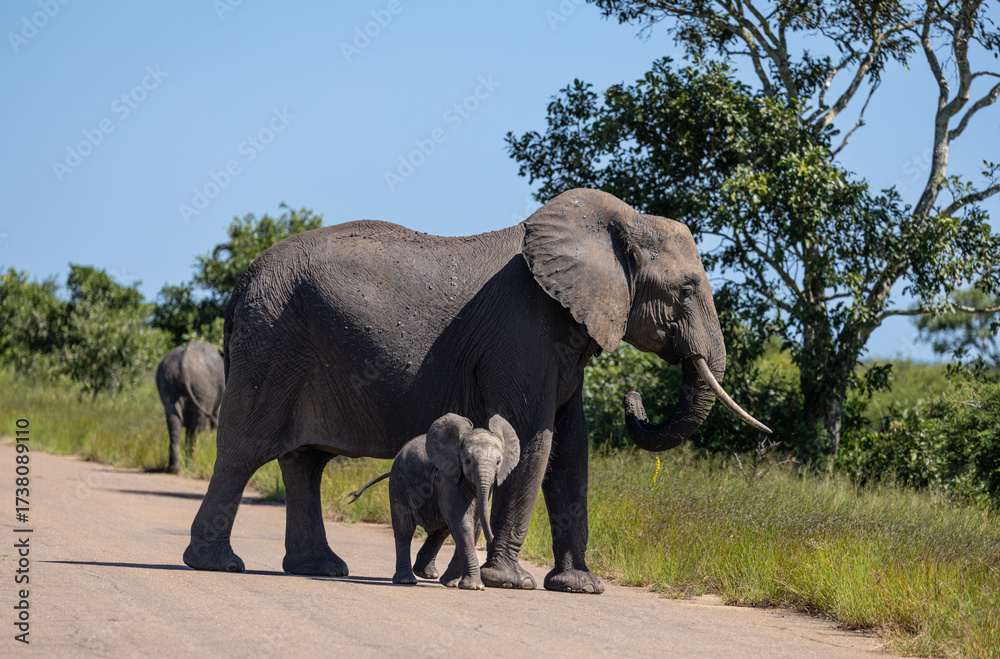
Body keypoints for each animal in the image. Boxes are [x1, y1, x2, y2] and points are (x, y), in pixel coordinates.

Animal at [156, 341, 225, 473]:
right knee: (196, 428)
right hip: (204, 389)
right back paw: (190, 462)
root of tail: (184, 364)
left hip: (169, 383)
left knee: (174, 424)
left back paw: (173, 469)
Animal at [349, 413, 520, 589]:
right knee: (405, 529)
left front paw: (452, 583)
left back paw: (428, 574)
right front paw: (474, 587)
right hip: (399, 482)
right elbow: (462, 524)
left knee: (440, 530)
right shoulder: (448, 481)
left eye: (499, 462)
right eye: (467, 461)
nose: (491, 538)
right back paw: (406, 580)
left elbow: (475, 526)